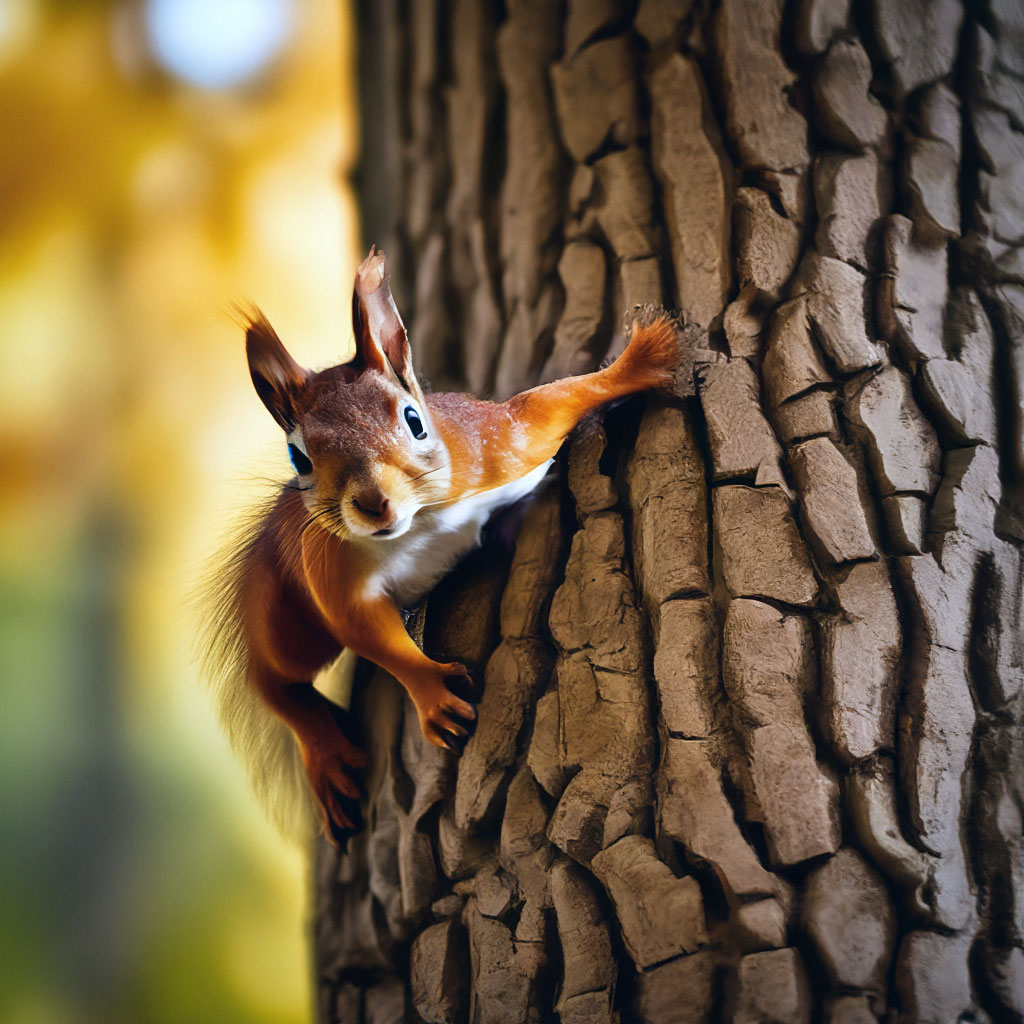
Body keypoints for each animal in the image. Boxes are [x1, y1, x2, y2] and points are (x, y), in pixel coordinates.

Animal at [198, 243, 679, 843]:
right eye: (298, 458)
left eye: (414, 420)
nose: (374, 503)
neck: (421, 523)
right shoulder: (330, 569)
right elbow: (367, 631)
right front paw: (432, 694)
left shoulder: (499, 444)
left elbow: (552, 404)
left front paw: (642, 360)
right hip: (286, 612)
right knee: (275, 678)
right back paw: (325, 753)